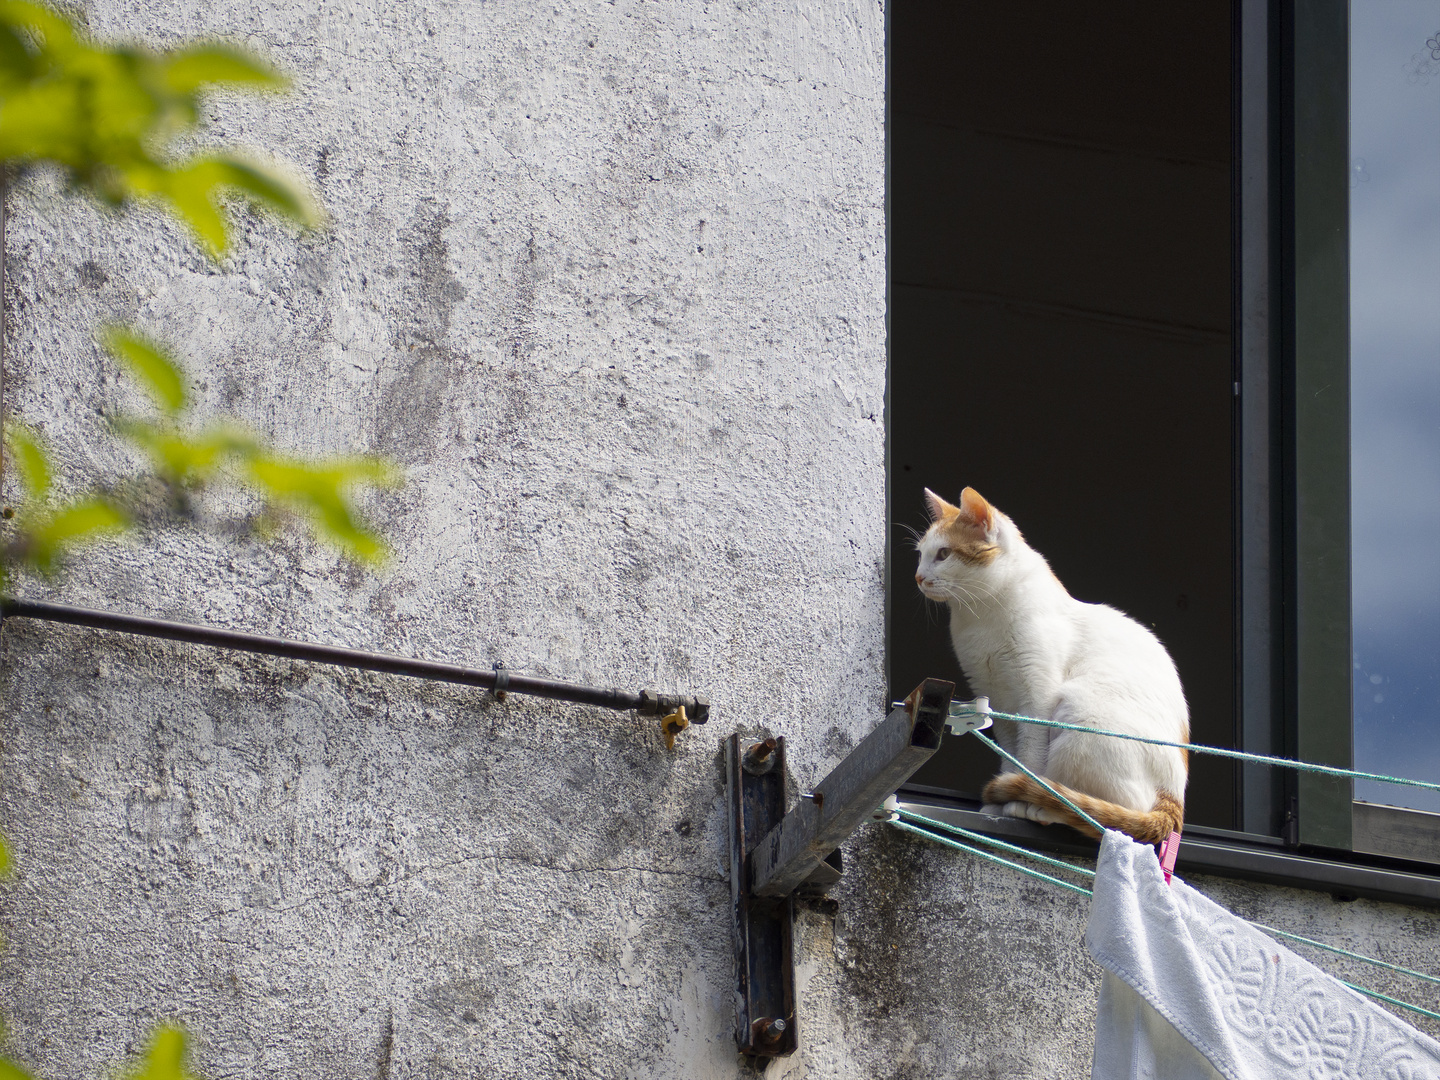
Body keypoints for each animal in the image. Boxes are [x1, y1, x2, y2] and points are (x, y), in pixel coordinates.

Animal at [915, 483, 1186, 846]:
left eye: (943, 554)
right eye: (920, 554)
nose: (918, 577)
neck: (981, 617)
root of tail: (1173, 796)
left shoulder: (1036, 696)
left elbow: (1030, 756)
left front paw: (1015, 800)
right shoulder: (999, 702)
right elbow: (1011, 756)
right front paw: (1000, 801)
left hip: (1080, 712)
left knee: (1106, 818)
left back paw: (1039, 808)